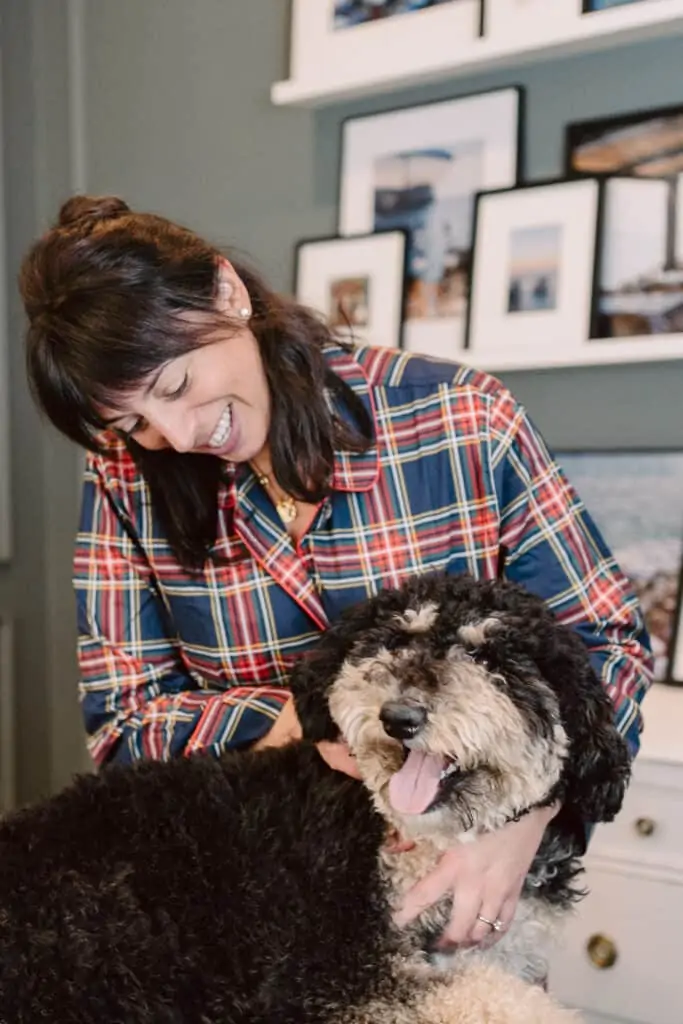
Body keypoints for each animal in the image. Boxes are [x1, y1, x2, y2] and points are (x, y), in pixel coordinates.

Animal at [0, 577, 630, 1024]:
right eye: (395, 639)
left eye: (491, 657)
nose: (399, 717)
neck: (408, 838)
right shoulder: (339, 973)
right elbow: (493, 1001)